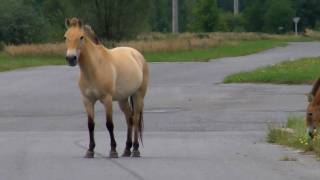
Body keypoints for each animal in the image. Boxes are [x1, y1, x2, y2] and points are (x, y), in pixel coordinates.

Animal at [65, 17, 150, 158]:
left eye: (81, 37)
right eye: (65, 37)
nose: (71, 58)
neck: (94, 68)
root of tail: (137, 54)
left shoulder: (107, 99)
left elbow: (109, 124)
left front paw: (113, 150)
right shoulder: (87, 100)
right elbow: (90, 125)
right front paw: (90, 150)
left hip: (138, 95)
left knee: (136, 118)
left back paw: (135, 150)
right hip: (123, 99)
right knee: (129, 119)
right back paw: (127, 149)